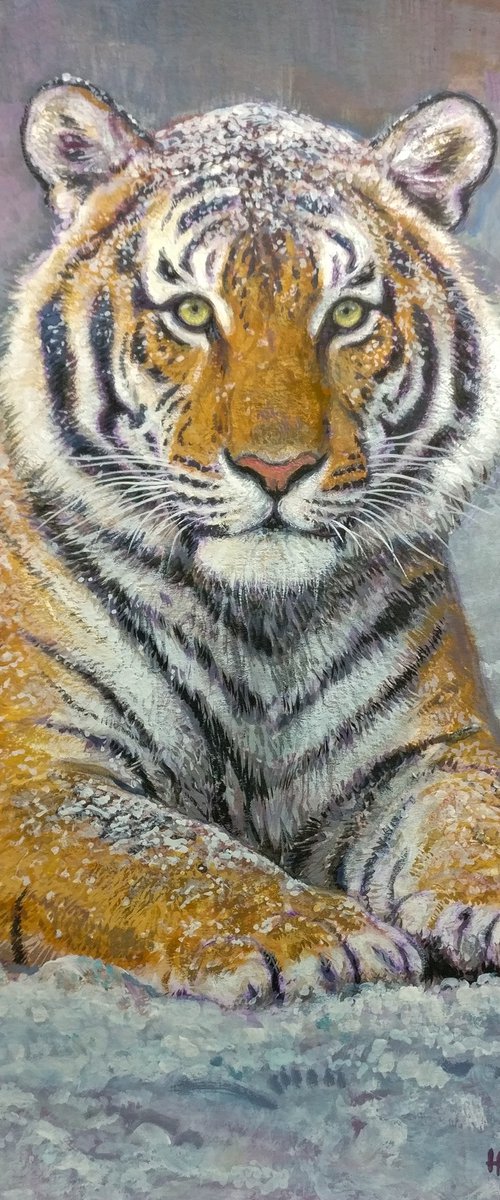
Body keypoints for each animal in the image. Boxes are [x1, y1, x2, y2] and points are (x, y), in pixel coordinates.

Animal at [0, 76, 499, 1007]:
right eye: (193, 312)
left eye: (347, 314)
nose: (278, 467)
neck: (261, 627)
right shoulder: (38, 773)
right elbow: (165, 851)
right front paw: (318, 935)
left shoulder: (430, 752)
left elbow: (476, 817)